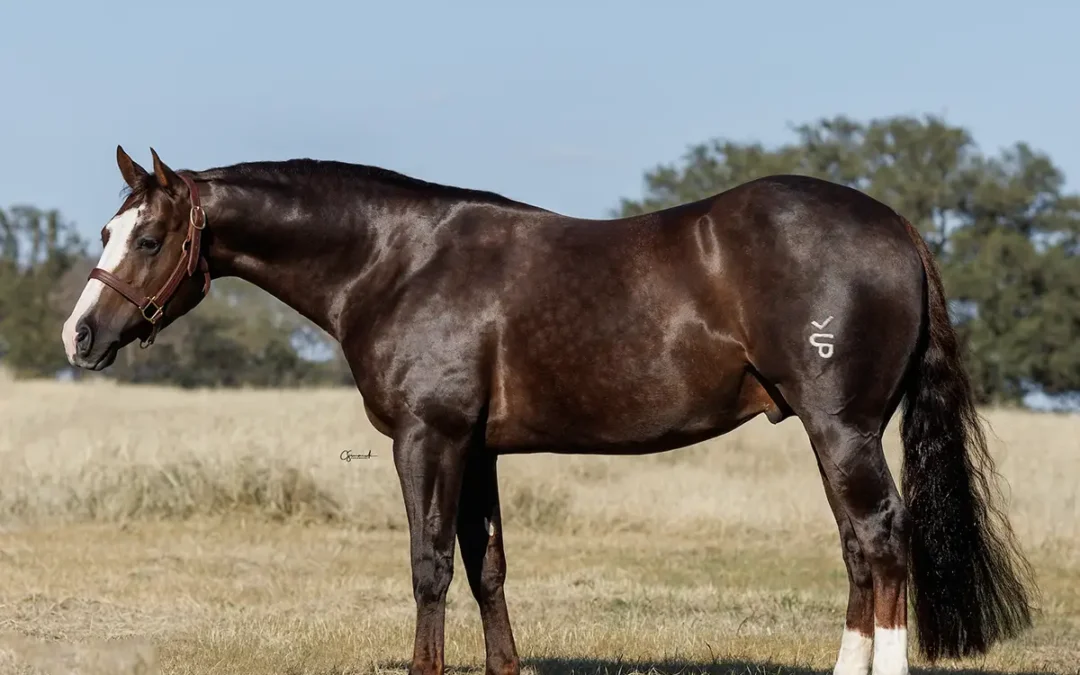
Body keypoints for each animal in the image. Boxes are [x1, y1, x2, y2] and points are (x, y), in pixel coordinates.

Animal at [61, 146, 1036, 675]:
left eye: (150, 237)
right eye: (108, 231)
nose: (80, 335)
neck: (396, 261)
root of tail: (897, 226)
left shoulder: (429, 439)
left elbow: (428, 567)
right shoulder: (480, 449)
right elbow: (487, 568)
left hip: (842, 430)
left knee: (879, 539)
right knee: (862, 548)